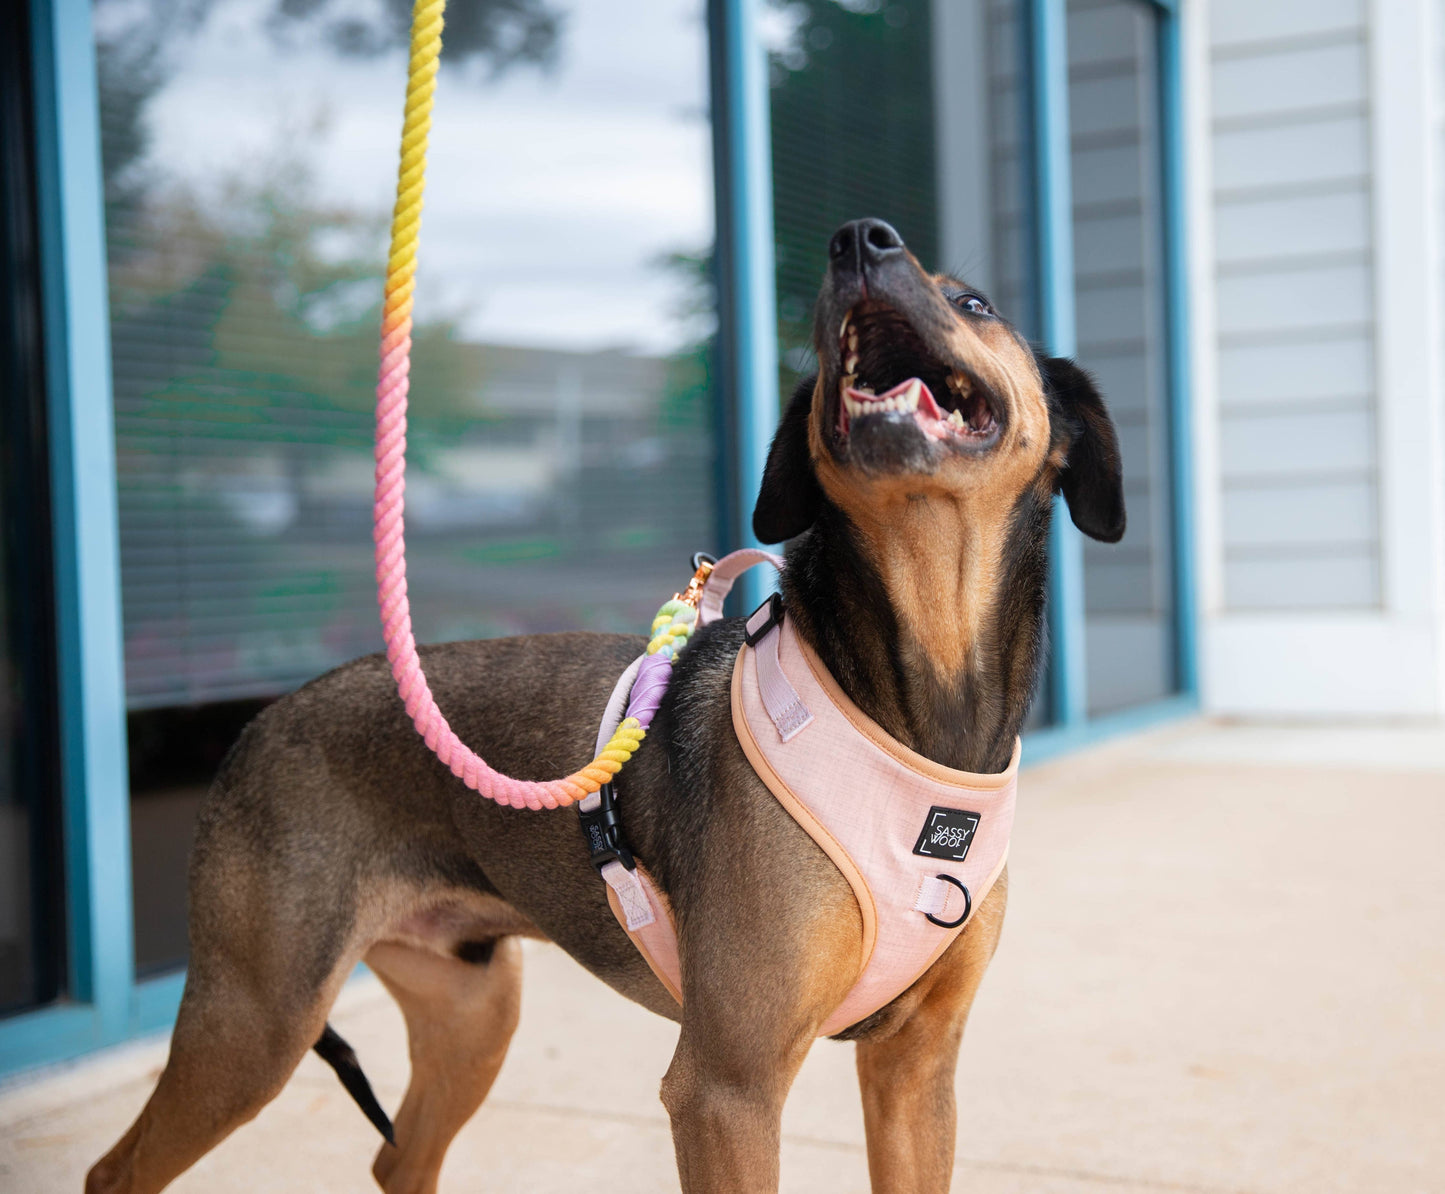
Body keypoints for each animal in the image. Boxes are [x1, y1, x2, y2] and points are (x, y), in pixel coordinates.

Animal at [87, 218, 1127, 1191]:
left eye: (976, 302)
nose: (855, 243)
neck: (916, 709)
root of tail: (257, 722)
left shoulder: (914, 1073)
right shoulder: (725, 1089)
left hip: (470, 1012)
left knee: (398, 1161)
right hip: (256, 1019)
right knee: (117, 1170)